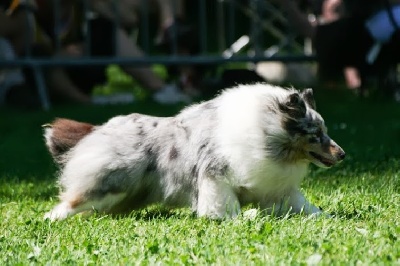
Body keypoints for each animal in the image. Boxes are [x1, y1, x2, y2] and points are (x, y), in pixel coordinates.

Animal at [43, 83, 344, 220]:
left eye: (325, 131)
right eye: (315, 135)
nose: (342, 154)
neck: (265, 134)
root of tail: (100, 128)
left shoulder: (275, 187)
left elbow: (307, 207)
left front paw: (329, 218)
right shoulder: (216, 179)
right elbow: (225, 207)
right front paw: (239, 218)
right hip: (109, 184)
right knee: (70, 202)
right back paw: (52, 219)